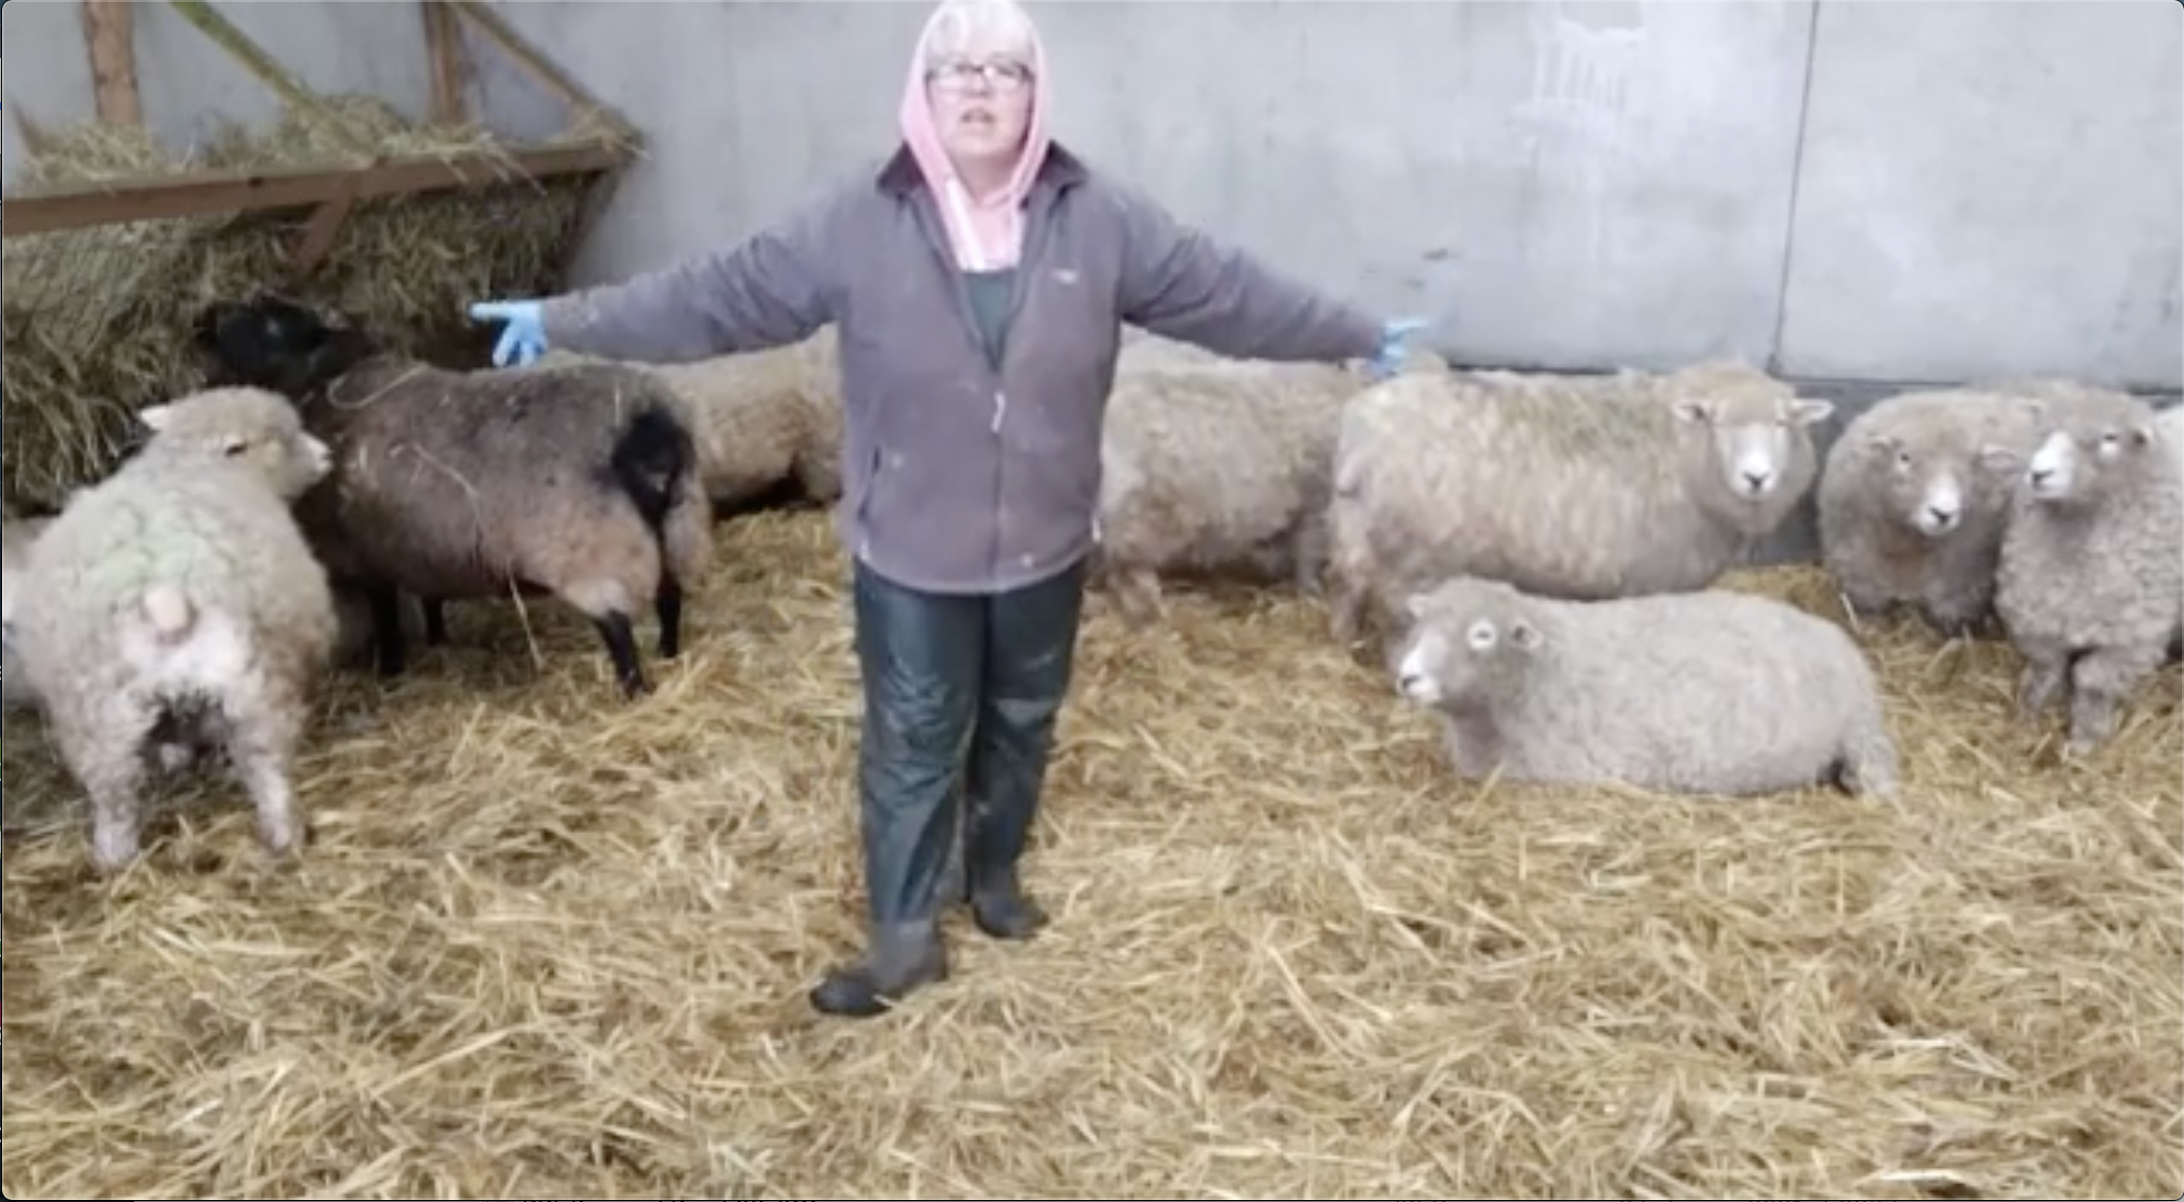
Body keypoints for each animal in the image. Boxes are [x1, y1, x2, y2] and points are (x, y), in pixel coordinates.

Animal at [12, 385, 340, 871]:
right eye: (278, 437)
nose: (326, 455)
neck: (190, 461)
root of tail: (165, 596)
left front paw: (175, 758)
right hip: (250, 687)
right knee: (269, 772)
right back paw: (285, 837)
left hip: (101, 711)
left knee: (115, 796)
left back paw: (115, 861)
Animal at [192, 294, 714, 699]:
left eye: (272, 323)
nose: (207, 316)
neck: (327, 387)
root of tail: (646, 428)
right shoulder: (423, 544)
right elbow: (430, 598)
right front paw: (438, 638)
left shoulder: (369, 557)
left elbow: (387, 621)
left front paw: (390, 674)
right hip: (678, 527)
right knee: (670, 598)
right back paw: (669, 653)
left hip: (593, 550)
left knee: (619, 631)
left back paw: (635, 692)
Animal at [1326, 359, 1835, 647]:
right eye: (1715, 421)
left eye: (1782, 423)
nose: (1757, 478)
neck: (1678, 446)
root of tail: (1360, 437)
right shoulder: (1654, 578)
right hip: (1414, 559)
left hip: (1357, 535)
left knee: (1351, 590)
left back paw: (1344, 641)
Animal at [1814, 388, 2049, 637]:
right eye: (1904, 457)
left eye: (1971, 465)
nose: (1943, 513)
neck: (1909, 544)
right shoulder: (1858, 570)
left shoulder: (1961, 582)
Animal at [1973, 387, 2183, 755]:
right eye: (2044, 432)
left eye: (2110, 438)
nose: (2039, 473)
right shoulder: (2038, 614)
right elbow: (2047, 665)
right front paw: (2029, 710)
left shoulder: (2131, 640)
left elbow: (2092, 682)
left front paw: (2085, 738)